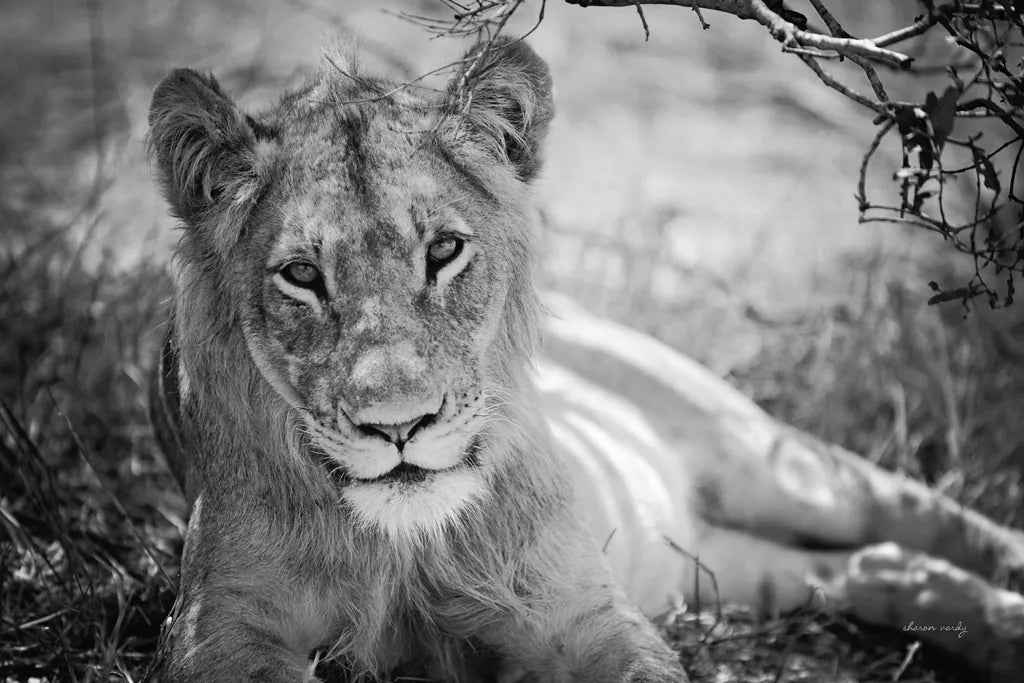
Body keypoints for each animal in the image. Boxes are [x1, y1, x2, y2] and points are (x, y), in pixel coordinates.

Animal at [147, 36, 1024, 683]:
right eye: (302, 275)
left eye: (444, 251)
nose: (399, 426)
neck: (402, 545)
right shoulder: (222, 627)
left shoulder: (579, 612)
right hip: (713, 565)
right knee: (860, 563)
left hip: (773, 462)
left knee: (919, 515)